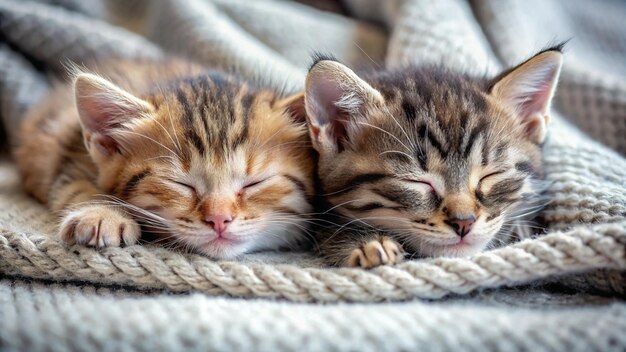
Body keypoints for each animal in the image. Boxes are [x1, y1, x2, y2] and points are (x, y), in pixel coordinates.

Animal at [15, 59, 314, 260]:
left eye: (255, 183)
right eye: (181, 184)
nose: (219, 220)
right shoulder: (71, 148)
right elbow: (73, 183)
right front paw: (100, 213)